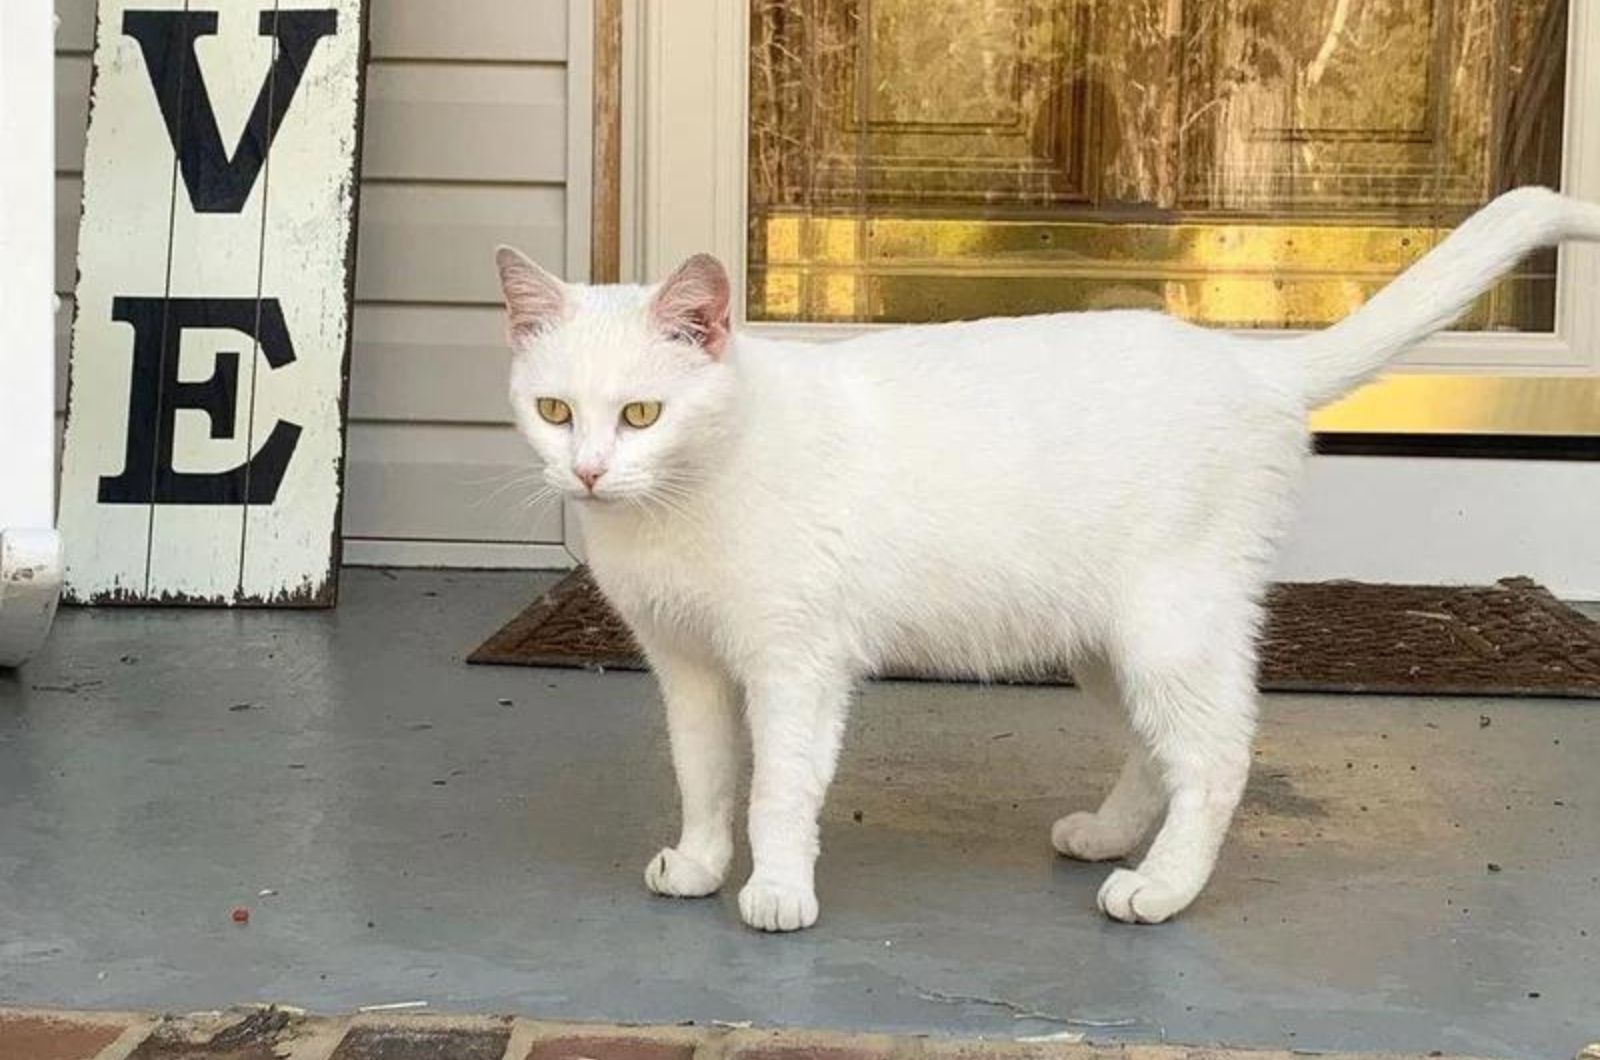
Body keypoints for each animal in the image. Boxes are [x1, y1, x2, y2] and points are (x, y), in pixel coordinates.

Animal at [492, 188, 1600, 928]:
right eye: (555, 411)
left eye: (643, 414)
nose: (588, 472)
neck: (680, 500)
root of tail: (1251, 362)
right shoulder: (688, 669)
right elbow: (706, 776)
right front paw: (700, 863)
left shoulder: (793, 668)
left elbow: (778, 789)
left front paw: (774, 888)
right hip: (1105, 649)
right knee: (1157, 753)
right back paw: (1111, 837)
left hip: (1169, 632)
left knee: (1217, 754)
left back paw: (1160, 887)